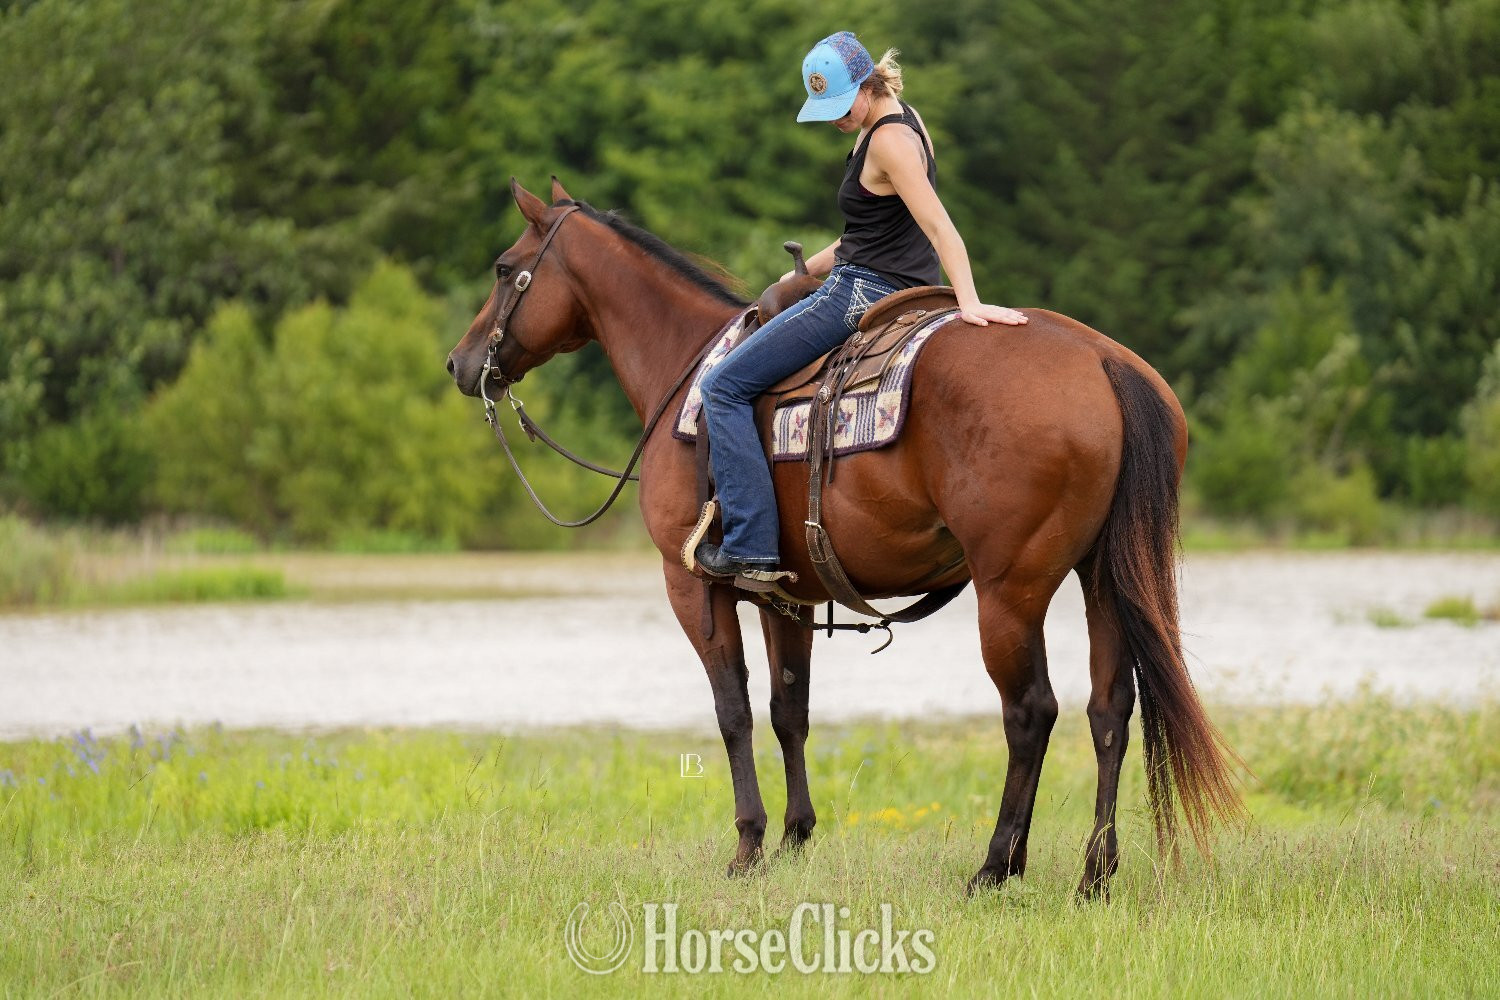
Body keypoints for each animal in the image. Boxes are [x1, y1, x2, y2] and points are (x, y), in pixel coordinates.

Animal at [447, 177, 1243, 898]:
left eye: (503, 267)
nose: (460, 363)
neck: (686, 378)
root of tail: (1104, 362)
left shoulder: (693, 585)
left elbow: (733, 712)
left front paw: (748, 846)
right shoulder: (786, 595)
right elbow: (788, 711)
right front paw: (796, 837)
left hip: (1010, 590)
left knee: (1030, 713)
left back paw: (995, 866)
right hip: (1102, 576)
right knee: (1108, 711)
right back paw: (1093, 876)